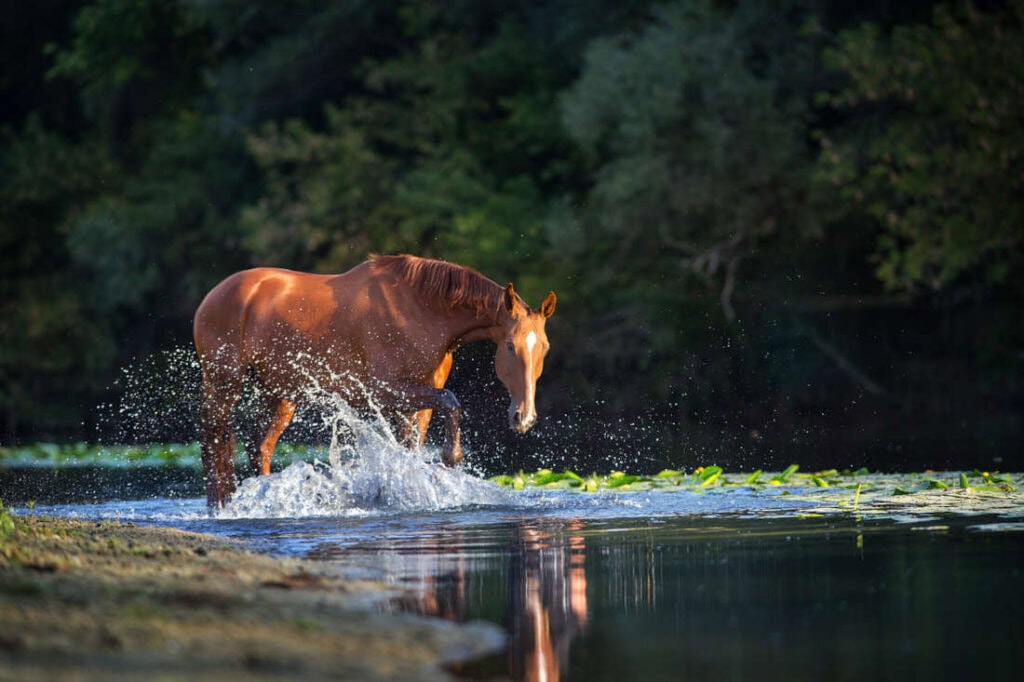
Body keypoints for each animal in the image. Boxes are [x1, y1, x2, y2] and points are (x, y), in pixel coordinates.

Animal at [193, 254, 556, 508]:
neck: (421, 312)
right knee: (214, 443)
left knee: (260, 447)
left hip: (280, 395)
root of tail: (214, 295)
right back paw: (220, 508)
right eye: (510, 346)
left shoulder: (418, 402)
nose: (524, 417)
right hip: (223, 383)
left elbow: (414, 446)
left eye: (544, 347)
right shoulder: (390, 394)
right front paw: (450, 458)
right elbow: (451, 402)